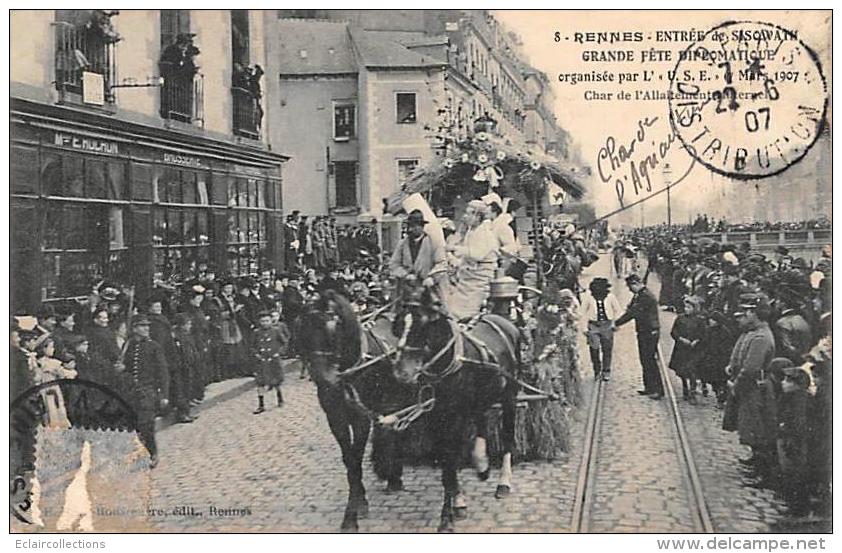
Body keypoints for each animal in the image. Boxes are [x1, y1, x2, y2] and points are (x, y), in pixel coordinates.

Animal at [296, 288, 412, 532]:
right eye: (302, 328)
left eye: (334, 328)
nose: (325, 380)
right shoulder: (335, 418)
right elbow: (349, 460)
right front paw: (359, 501)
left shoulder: (361, 419)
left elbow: (356, 458)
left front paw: (352, 514)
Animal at [390, 286, 520, 532]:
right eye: (399, 324)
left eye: (423, 323)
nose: (401, 373)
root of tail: (503, 321)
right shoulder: (435, 420)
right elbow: (447, 466)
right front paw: (457, 503)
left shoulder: (456, 419)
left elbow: (452, 463)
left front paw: (446, 518)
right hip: (480, 400)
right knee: (482, 421)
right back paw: (482, 465)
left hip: (510, 396)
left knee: (508, 436)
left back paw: (504, 483)